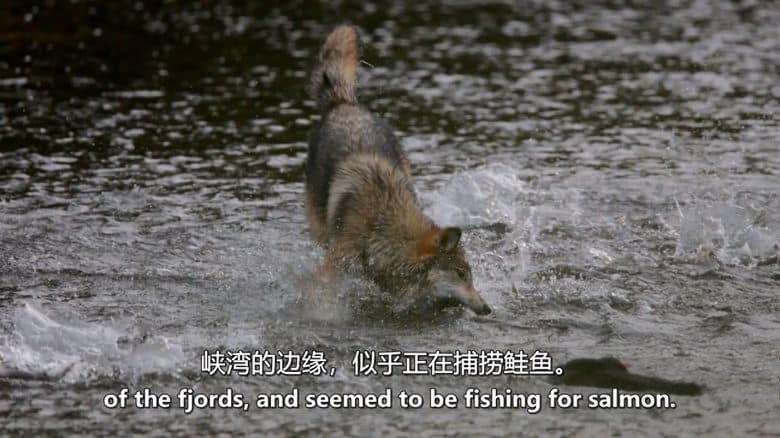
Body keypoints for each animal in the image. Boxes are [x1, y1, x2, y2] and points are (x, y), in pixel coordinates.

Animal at [304, 25, 491, 316]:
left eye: (470, 277)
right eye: (462, 275)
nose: (487, 308)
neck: (381, 227)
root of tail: (342, 102)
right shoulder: (335, 263)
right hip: (320, 227)